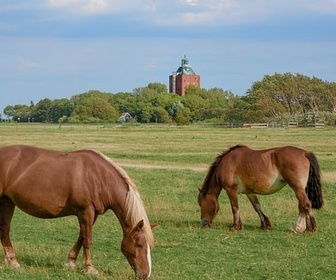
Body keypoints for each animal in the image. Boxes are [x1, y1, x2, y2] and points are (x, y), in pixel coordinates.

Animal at [0, 144, 154, 278]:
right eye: (139, 244)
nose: (145, 274)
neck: (99, 176)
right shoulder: (86, 211)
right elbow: (88, 239)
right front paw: (89, 268)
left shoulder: (92, 214)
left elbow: (82, 236)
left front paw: (71, 263)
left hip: (7, 201)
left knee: (5, 229)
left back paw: (12, 261)